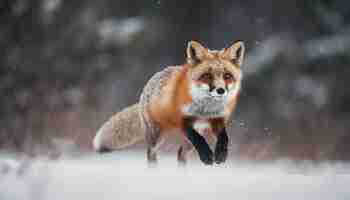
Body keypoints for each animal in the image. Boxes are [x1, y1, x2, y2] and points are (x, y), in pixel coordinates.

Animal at [94, 40, 245, 166]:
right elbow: (199, 139)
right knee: (151, 153)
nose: (221, 90)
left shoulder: (217, 119)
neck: (204, 110)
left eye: (227, 76)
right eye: (207, 76)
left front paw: (221, 155)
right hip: (156, 135)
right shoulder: (183, 122)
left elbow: (224, 138)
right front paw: (207, 156)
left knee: (180, 154)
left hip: (189, 139)